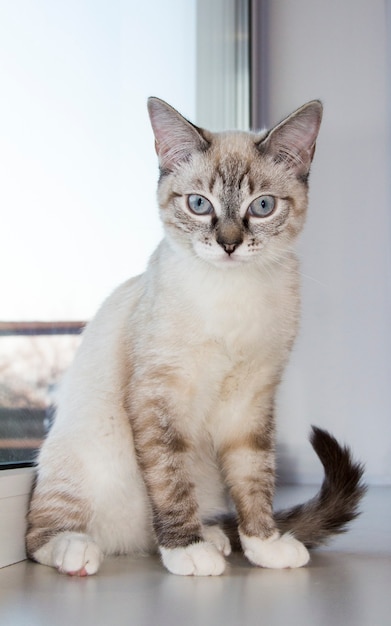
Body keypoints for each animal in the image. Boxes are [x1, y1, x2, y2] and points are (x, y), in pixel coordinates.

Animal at [26, 98, 366, 576]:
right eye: (199, 204)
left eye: (262, 206)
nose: (228, 244)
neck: (231, 296)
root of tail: (127, 544)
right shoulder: (159, 397)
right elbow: (170, 479)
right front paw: (185, 550)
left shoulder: (252, 400)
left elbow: (254, 478)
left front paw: (265, 545)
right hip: (85, 455)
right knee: (40, 531)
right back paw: (79, 550)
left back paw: (213, 537)